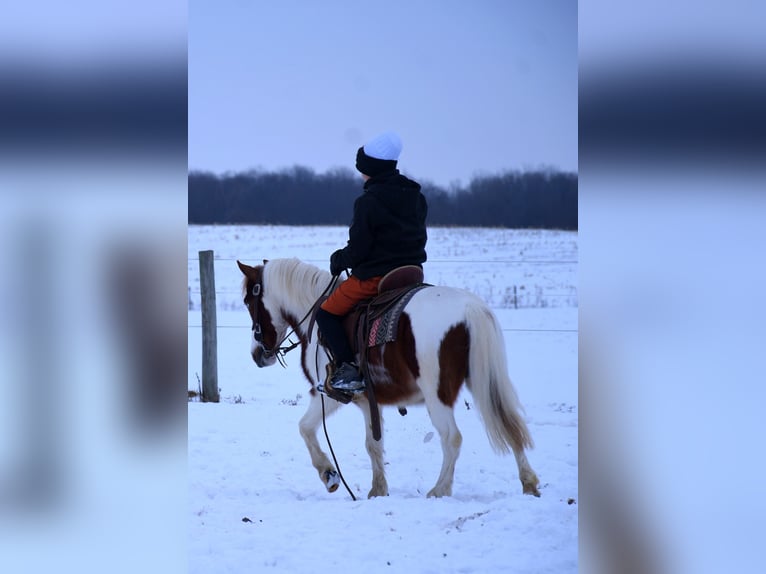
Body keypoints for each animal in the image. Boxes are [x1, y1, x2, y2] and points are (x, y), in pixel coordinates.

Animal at [237, 258, 544, 500]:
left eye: (249, 302)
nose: (257, 355)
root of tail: (471, 309)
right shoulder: (367, 402)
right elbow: (373, 445)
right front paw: (377, 490)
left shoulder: (327, 395)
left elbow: (305, 428)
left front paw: (329, 475)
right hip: (483, 382)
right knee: (509, 424)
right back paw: (528, 482)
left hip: (437, 394)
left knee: (452, 437)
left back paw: (440, 490)